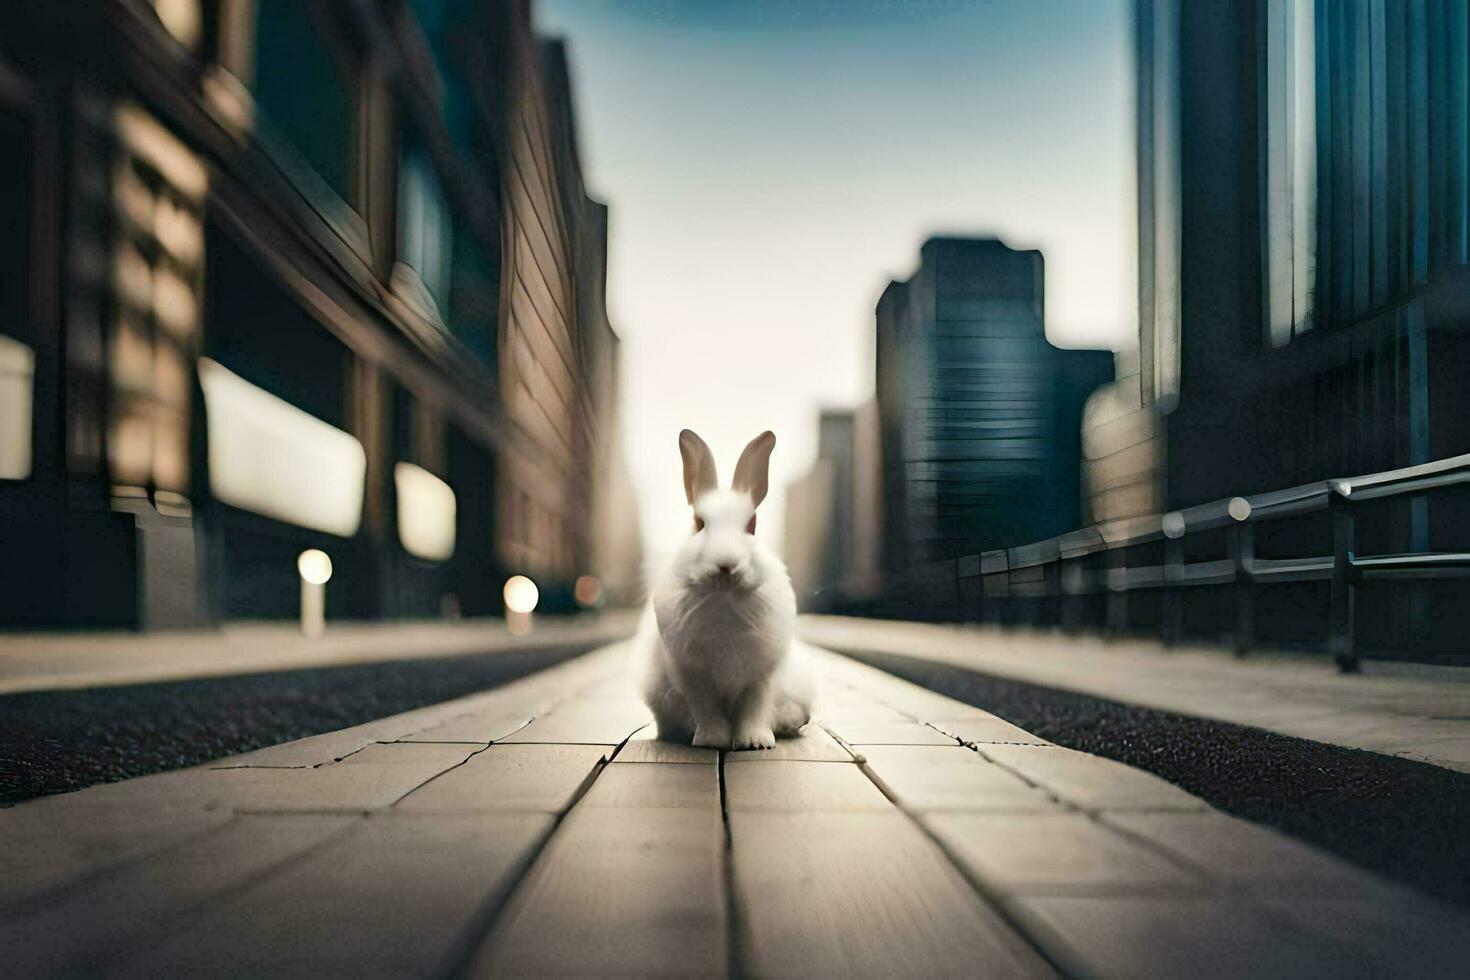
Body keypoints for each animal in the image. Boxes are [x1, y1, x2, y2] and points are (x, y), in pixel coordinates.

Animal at [643, 429, 817, 752]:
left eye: (752, 524)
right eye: (699, 523)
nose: (726, 565)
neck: (724, 598)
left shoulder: (762, 674)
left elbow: (754, 708)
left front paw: (755, 743)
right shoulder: (692, 674)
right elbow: (707, 709)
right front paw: (712, 741)